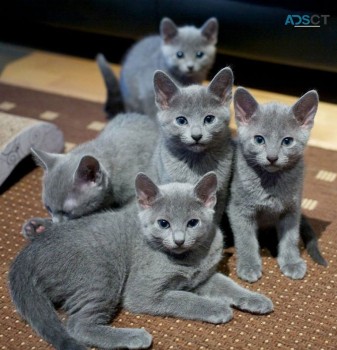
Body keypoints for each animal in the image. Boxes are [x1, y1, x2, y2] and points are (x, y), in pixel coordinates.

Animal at [8, 172, 272, 350]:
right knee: (77, 325)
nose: (179, 240)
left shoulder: (203, 277)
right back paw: (134, 337)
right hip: (101, 274)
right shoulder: (143, 292)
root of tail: (27, 254)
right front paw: (217, 308)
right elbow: (183, 298)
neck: (187, 260)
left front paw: (256, 299)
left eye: (193, 223)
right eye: (163, 223)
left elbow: (229, 285)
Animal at [227, 87, 322, 282]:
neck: (271, 183)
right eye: (259, 139)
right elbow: (246, 239)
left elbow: (291, 237)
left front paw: (291, 262)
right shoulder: (239, 209)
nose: (272, 157)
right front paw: (249, 265)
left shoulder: (292, 209)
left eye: (287, 141)